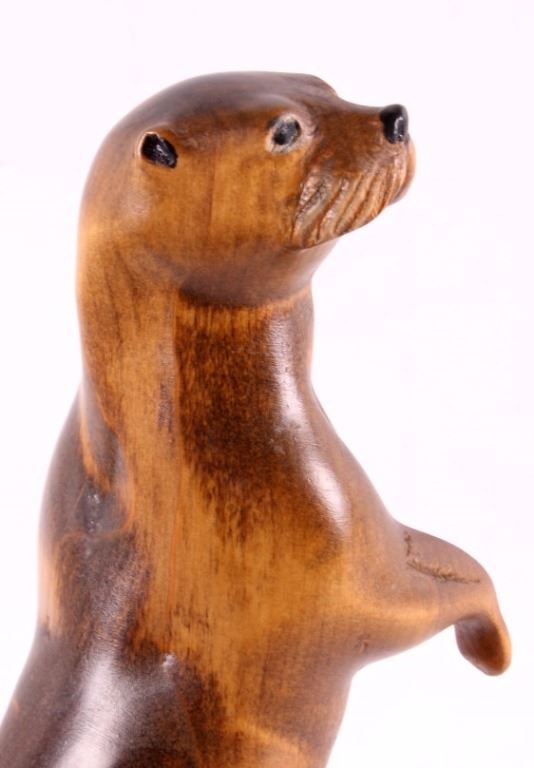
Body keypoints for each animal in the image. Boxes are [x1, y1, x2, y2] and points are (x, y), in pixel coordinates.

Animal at [0, 72, 510, 768]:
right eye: (286, 130)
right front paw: (494, 647)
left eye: (323, 83)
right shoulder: (350, 580)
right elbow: (458, 579)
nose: (394, 117)